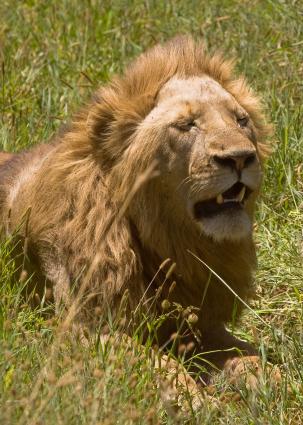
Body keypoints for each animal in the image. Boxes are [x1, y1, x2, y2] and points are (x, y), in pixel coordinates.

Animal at [0, 37, 274, 384]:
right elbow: (160, 366)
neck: (170, 246)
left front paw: (272, 382)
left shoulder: (201, 325)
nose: (240, 157)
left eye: (241, 120)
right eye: (186, 125)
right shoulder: (82, 331)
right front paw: (190, 394)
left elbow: (251, 357)